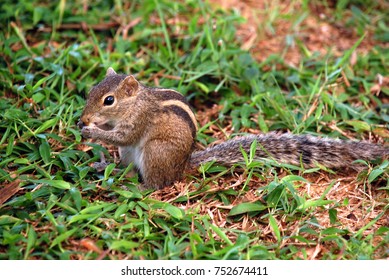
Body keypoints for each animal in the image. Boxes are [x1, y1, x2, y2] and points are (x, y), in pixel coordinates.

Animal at [78, 68, 388, 189]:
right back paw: (105, 167)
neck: (135, 102)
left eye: (109, 100)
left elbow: (124, 134)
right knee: (126, 166)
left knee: (157, 184)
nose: (83, 117)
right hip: (129, 154)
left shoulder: (139, 119)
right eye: (91, 91)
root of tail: (182, 165)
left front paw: (93, 131)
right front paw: (86, 126)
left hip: (155, 152)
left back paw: (135, 187)